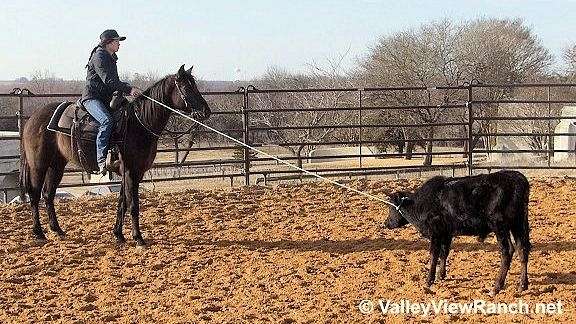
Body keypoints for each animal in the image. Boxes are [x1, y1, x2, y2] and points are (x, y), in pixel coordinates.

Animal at [20, 65, 210, 246]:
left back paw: (57, 230)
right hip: (38, 165)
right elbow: (133, 204)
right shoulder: (132, 172)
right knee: (35, 194)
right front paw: (138, 238)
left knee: (48, 194)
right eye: (186, 87)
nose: (206, 111)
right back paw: (39, 233)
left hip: (56, 165)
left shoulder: (130, 173)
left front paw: (118, 234)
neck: (138, 123)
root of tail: (32, 119)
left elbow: (122, 203)